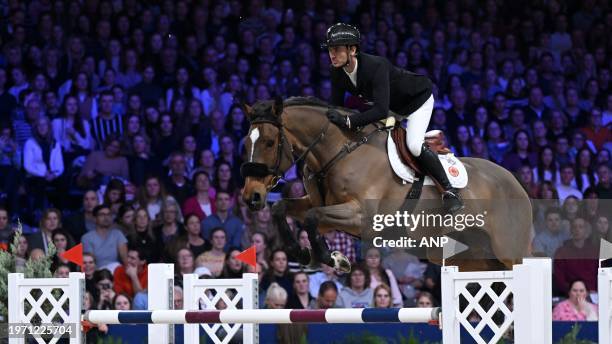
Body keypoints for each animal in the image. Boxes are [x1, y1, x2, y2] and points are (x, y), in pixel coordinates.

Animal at [239, 96, 532, 272]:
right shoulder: (320, 207)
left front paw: (335, 259)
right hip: (469, 256)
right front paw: (301, 253)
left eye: (269, 142)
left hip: (510, 252)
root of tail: (516, 183)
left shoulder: (362, 217)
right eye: (245, 142)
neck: (338, 151)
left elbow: (311, 217)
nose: (251, 196)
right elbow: (285, 210)